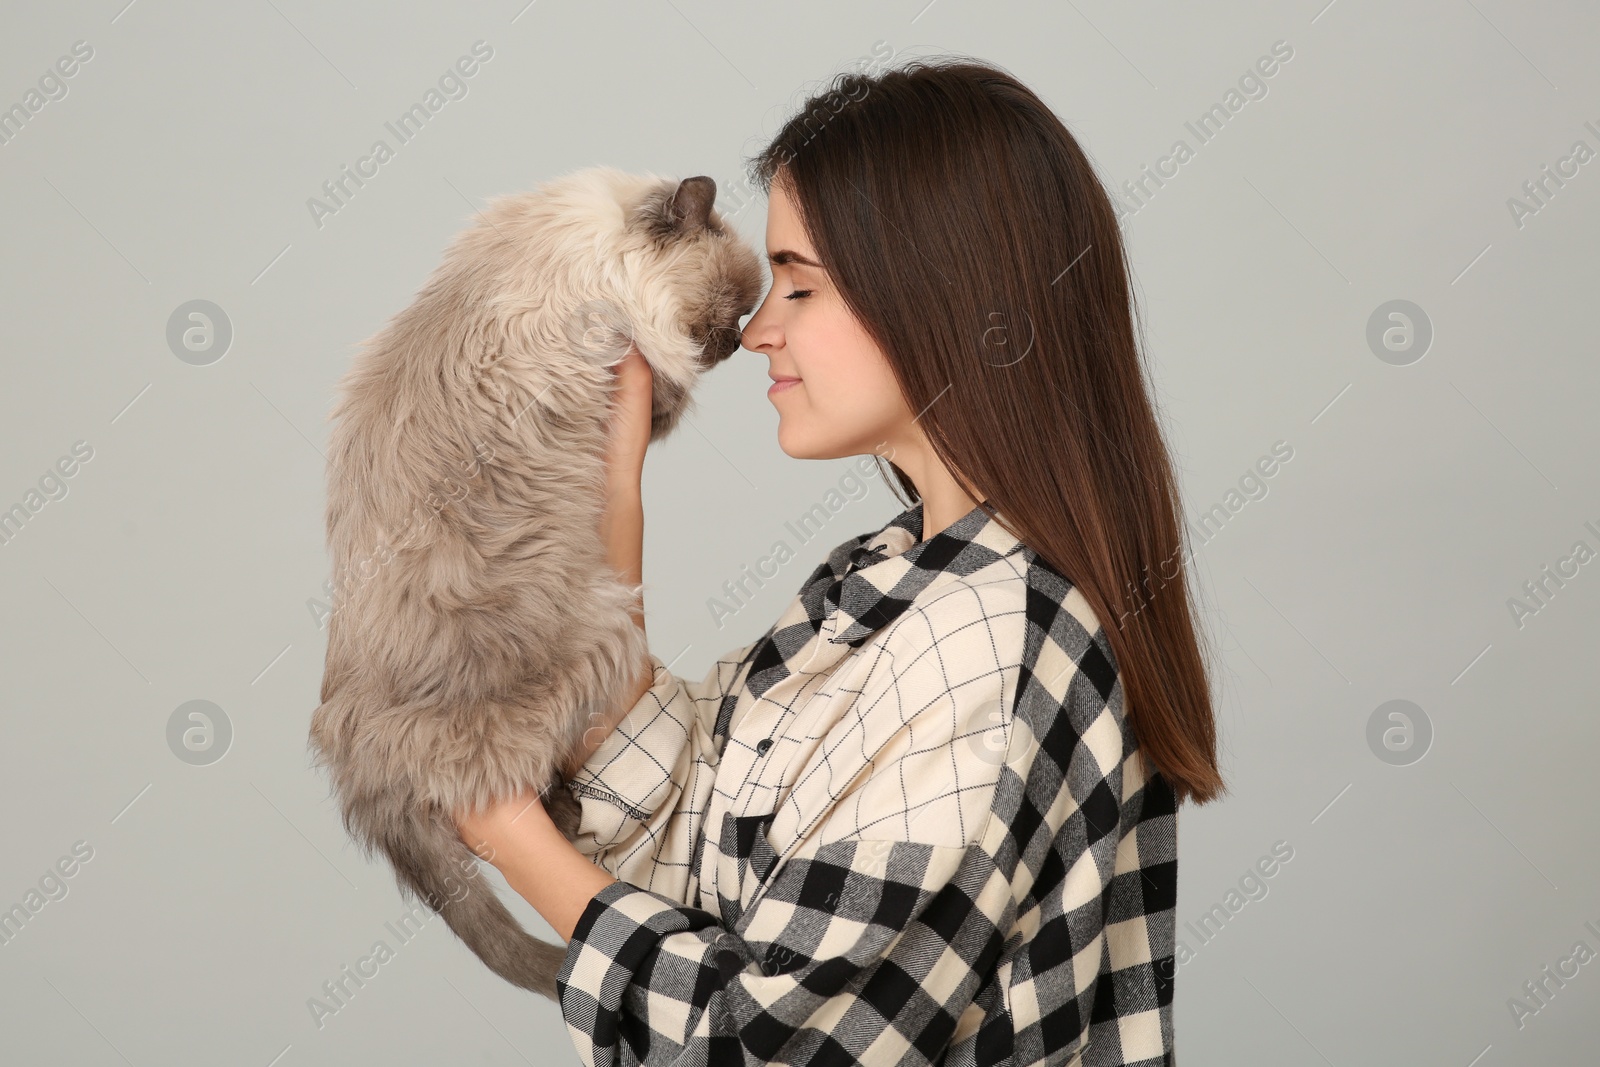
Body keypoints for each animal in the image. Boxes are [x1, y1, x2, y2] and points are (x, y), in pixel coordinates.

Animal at [313, 167, 768, 1004]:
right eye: (732, 303)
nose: (737, 344)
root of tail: (356, 754)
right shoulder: (638, 363)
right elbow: (666, 390)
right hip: (608, 630)